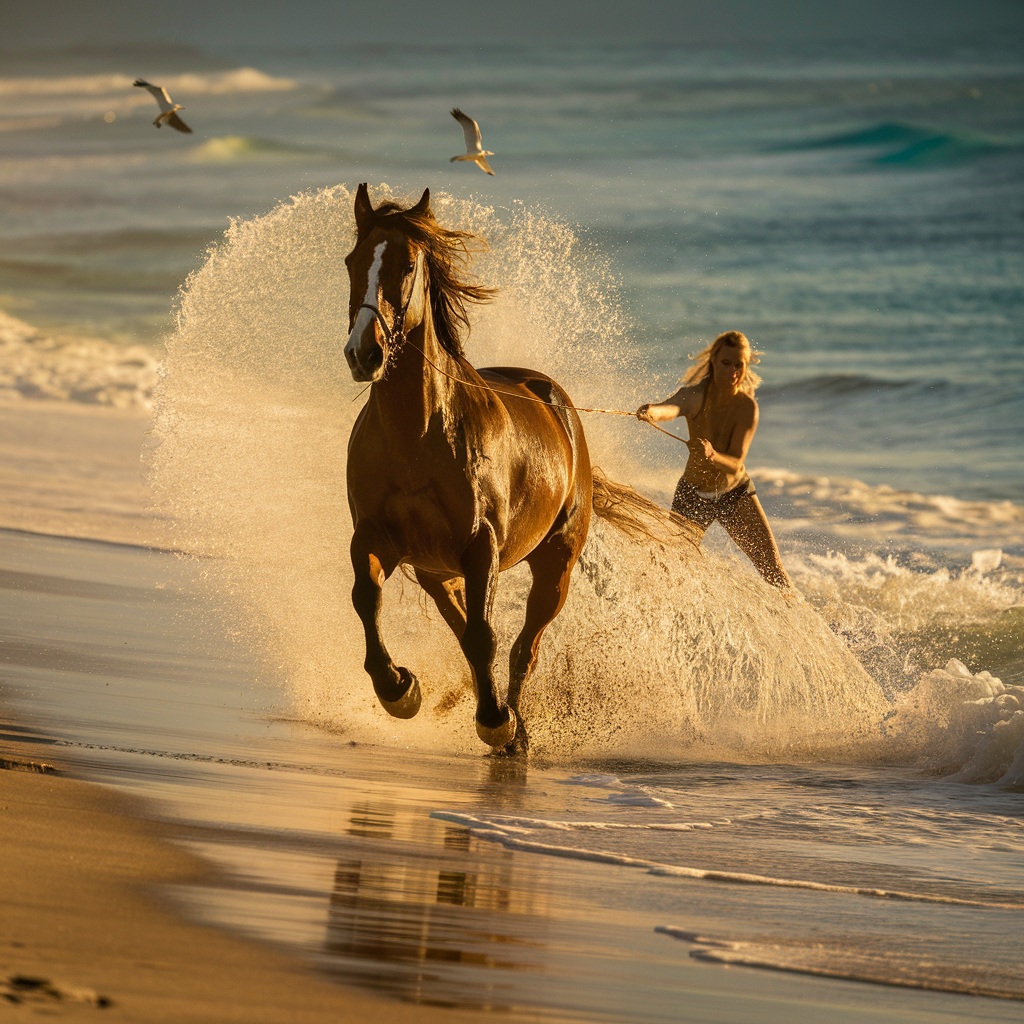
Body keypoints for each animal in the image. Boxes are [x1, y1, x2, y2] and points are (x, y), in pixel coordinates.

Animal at [344, 184, 643, 753]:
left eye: (407, 264)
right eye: (351, 262)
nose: (363, 352)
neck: (417, 438)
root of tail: (555, 400)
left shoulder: (482, 545)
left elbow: (485, 636)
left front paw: (495, 721)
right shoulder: (377, 538)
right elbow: (366, 598)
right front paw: (398, 688)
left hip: (554, 565)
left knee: (523, 647)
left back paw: (512, 725)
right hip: (436, 573)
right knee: (465, 627)